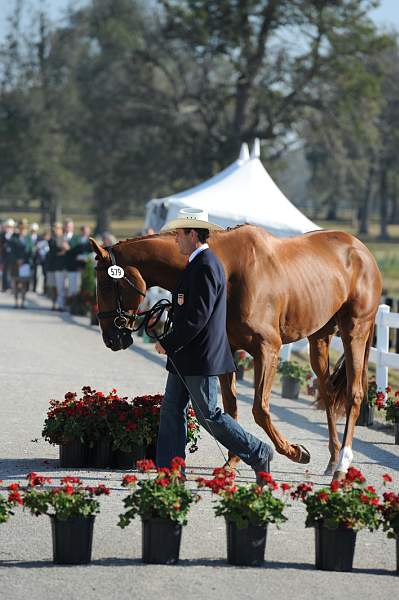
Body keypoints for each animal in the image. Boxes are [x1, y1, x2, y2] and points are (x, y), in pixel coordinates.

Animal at [90, 223, 382, 480]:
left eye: (105, 284)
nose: (111, 338)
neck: (229, 269)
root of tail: (361, 250)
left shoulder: (268, 349)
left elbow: (260, 409)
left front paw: (294, 451)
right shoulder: (227, 350)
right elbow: (230, 408)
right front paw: (232, 462)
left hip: (355, 331)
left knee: (354, 395)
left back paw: (342, 466)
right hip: (319, 338)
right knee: (329, 393)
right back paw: (332, 461)